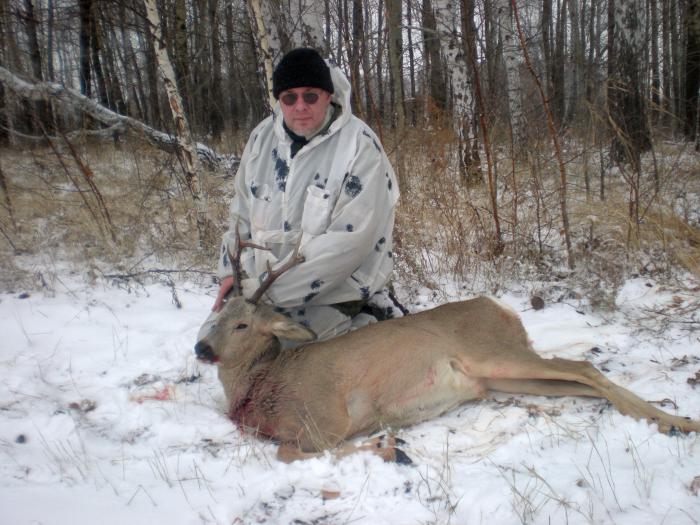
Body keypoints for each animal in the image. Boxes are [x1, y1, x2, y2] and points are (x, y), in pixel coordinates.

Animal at [194, 234, 700, 463]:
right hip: (497, 376)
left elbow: (299, 453)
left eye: (241, 323)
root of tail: (498, 306)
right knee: (580, 381)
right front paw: (389, 444)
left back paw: (680, 422)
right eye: (215, 316)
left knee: (583, 367)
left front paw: (388, 446)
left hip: (494, 352)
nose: (201, 348)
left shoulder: (325, 416)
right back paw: (667, 422)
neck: (264, 387)